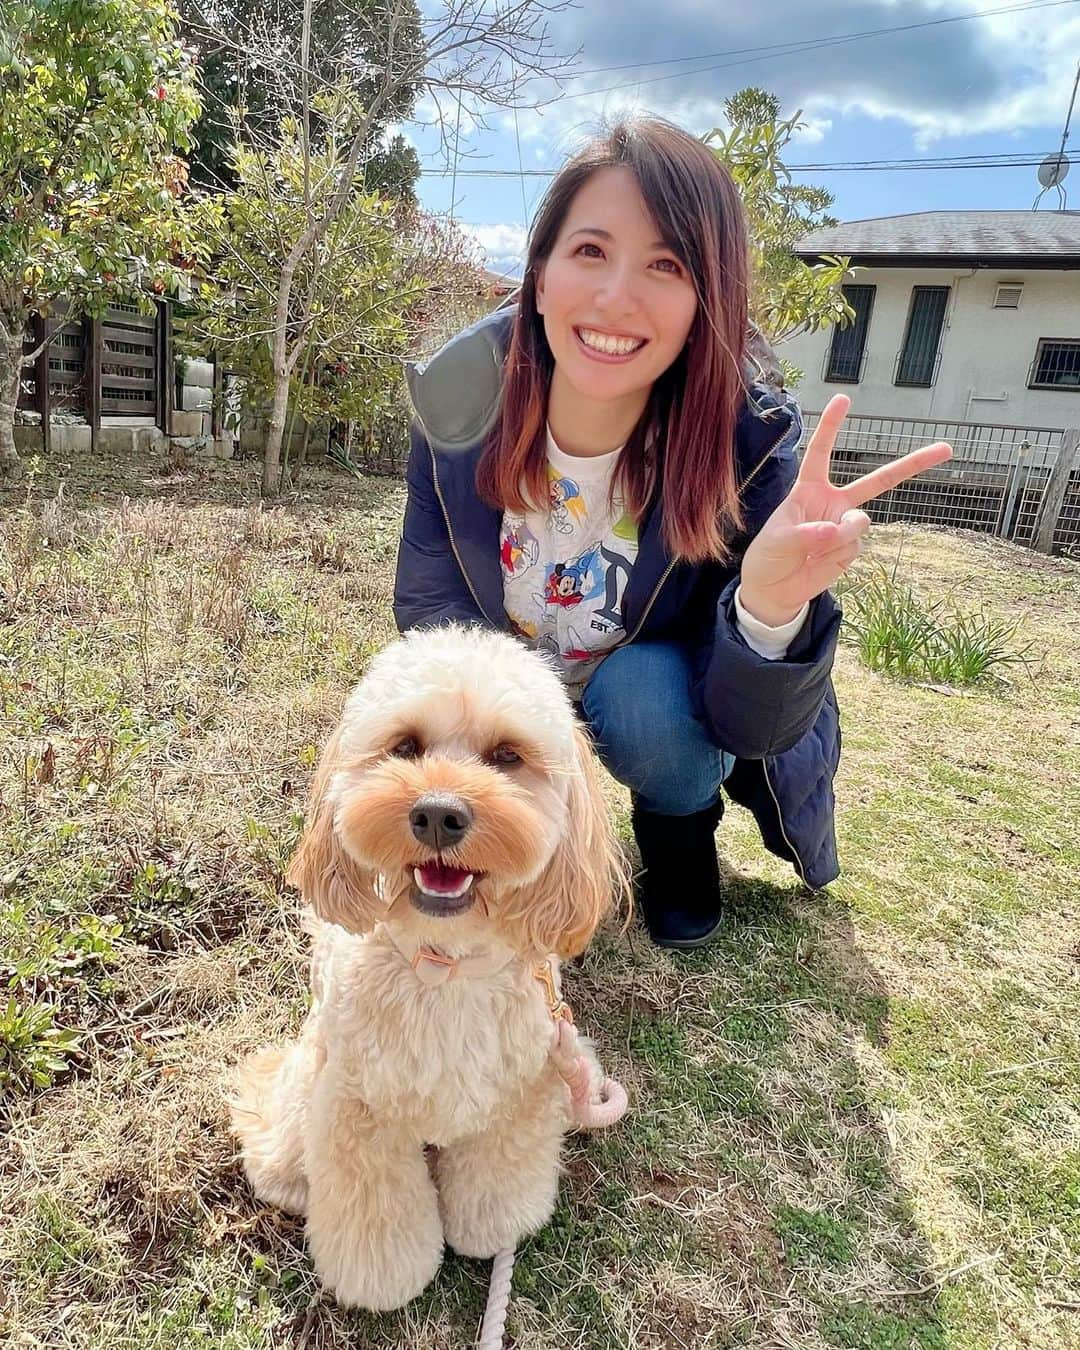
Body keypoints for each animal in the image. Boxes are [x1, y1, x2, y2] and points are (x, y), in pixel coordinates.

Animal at [232, 626, 629, 1312]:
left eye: (507, 755)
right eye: (405, 746)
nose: (439, 814)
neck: (445, 965)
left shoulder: (519, 1094)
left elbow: (498, 1184)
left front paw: (494, 1231)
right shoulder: (358, 1110)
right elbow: (375, 1215)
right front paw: (384, 1280)